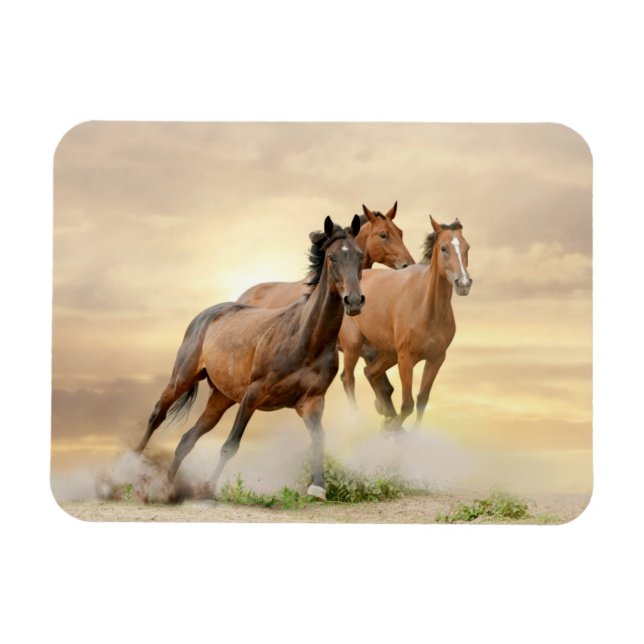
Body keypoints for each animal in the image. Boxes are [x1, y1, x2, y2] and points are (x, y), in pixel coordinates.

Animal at [135, 215, 365, 500]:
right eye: (332, 257)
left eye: (359, 255)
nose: (354, 301)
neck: (305, 338)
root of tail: (207, 314)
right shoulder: (253, 395)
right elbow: (230, 445)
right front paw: (209, 488)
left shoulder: (312, 402)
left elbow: (319, 440)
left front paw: (317, 488)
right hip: (183, 378)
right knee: (157, 414)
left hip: (221, 398)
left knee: (187, 439)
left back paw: (167, 489)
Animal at [339, 216, 472, 430]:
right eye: (443, 248)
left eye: (467, 247)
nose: (464, 284)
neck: (428, 310)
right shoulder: (406, 358)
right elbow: (407, 404)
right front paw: (392, 426)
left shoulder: (436, 359)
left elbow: (422, 400)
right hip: (353, 346)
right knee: (348, 379)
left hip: (387, 352)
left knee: (370, 373)